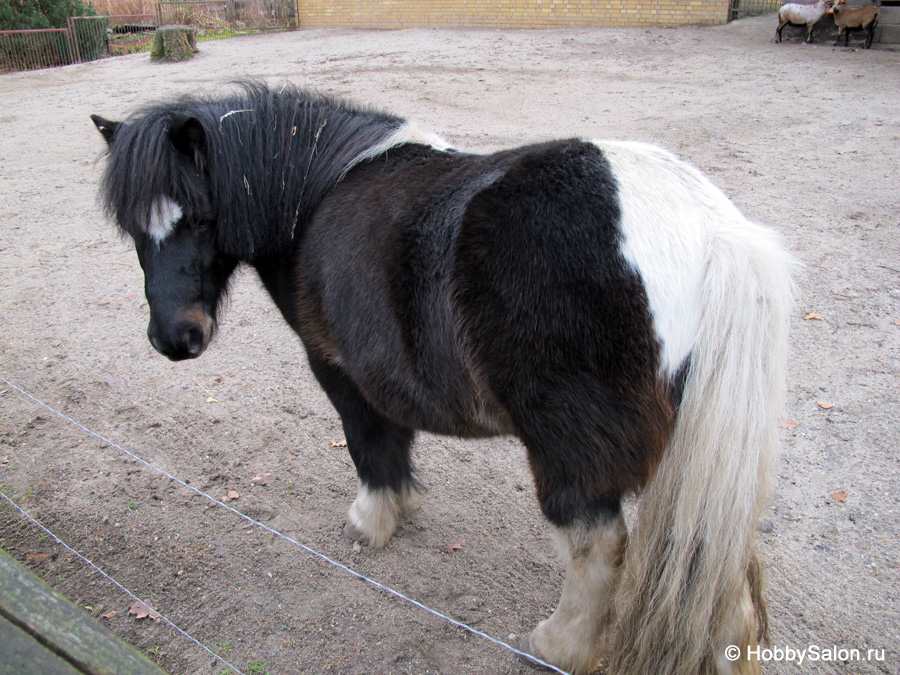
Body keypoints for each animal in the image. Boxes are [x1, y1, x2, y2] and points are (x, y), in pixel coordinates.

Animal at [93, 84, 796, 675]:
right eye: (132, 229)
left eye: (200, 218)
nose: (174, 338)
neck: (318, 194)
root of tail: (713, 231)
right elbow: (395, 445)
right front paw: (401, 507)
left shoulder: (341, 371)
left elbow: (369, 447)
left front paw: (371, 522)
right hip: (698, 467)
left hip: (573, 450)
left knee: (597, 549)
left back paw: (557, 646)